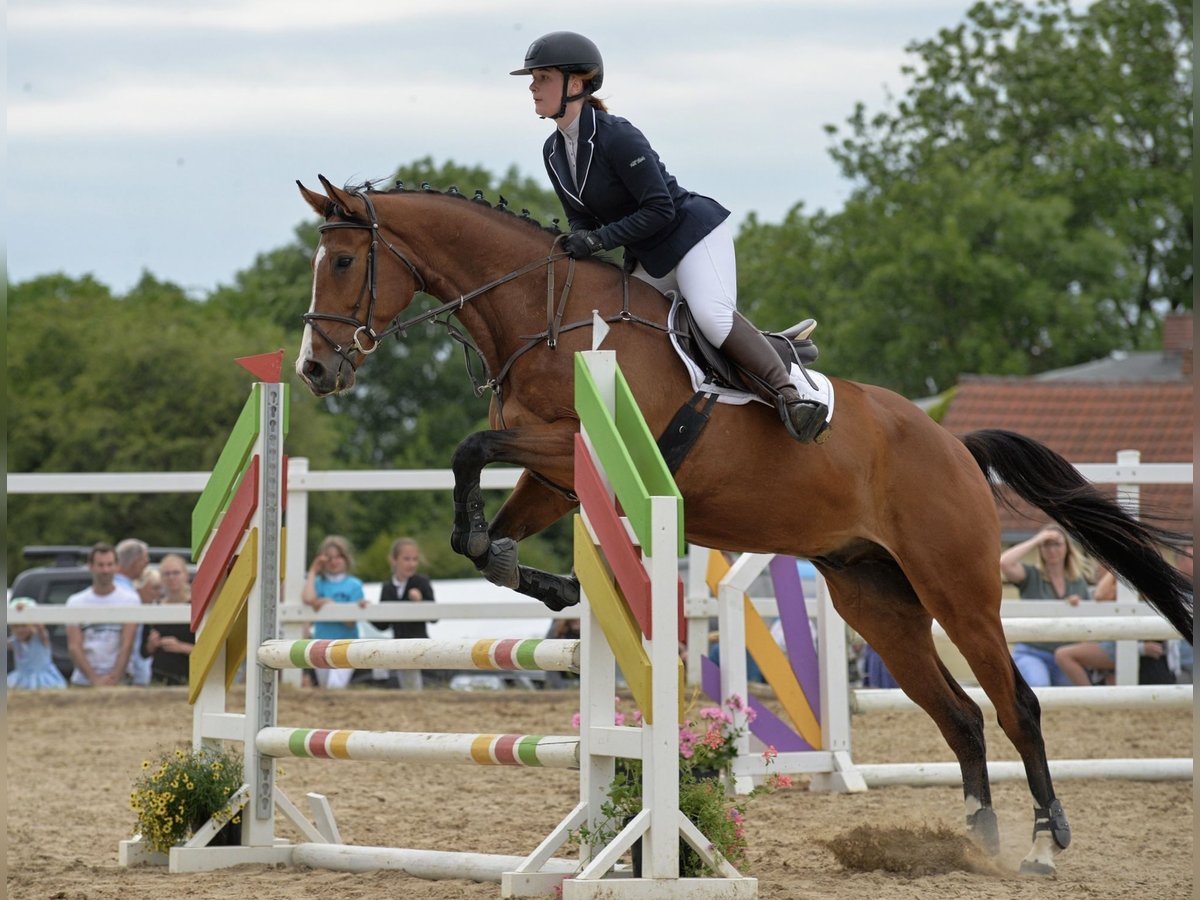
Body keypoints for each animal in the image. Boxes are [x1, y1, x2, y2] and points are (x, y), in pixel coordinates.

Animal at [295, 172, 1195, 878]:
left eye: (341, 261)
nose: (313, 370)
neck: (544, 316)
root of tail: (954, 444)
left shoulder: (580, 447)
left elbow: (468, 448)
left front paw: (549, 583)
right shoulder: (557, 477)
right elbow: (476, 535)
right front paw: (543, 580)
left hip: (959, 589)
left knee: (1017, 708)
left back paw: (1044, 844)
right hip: (877, 599)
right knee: (961, 716)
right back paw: (973, 846)